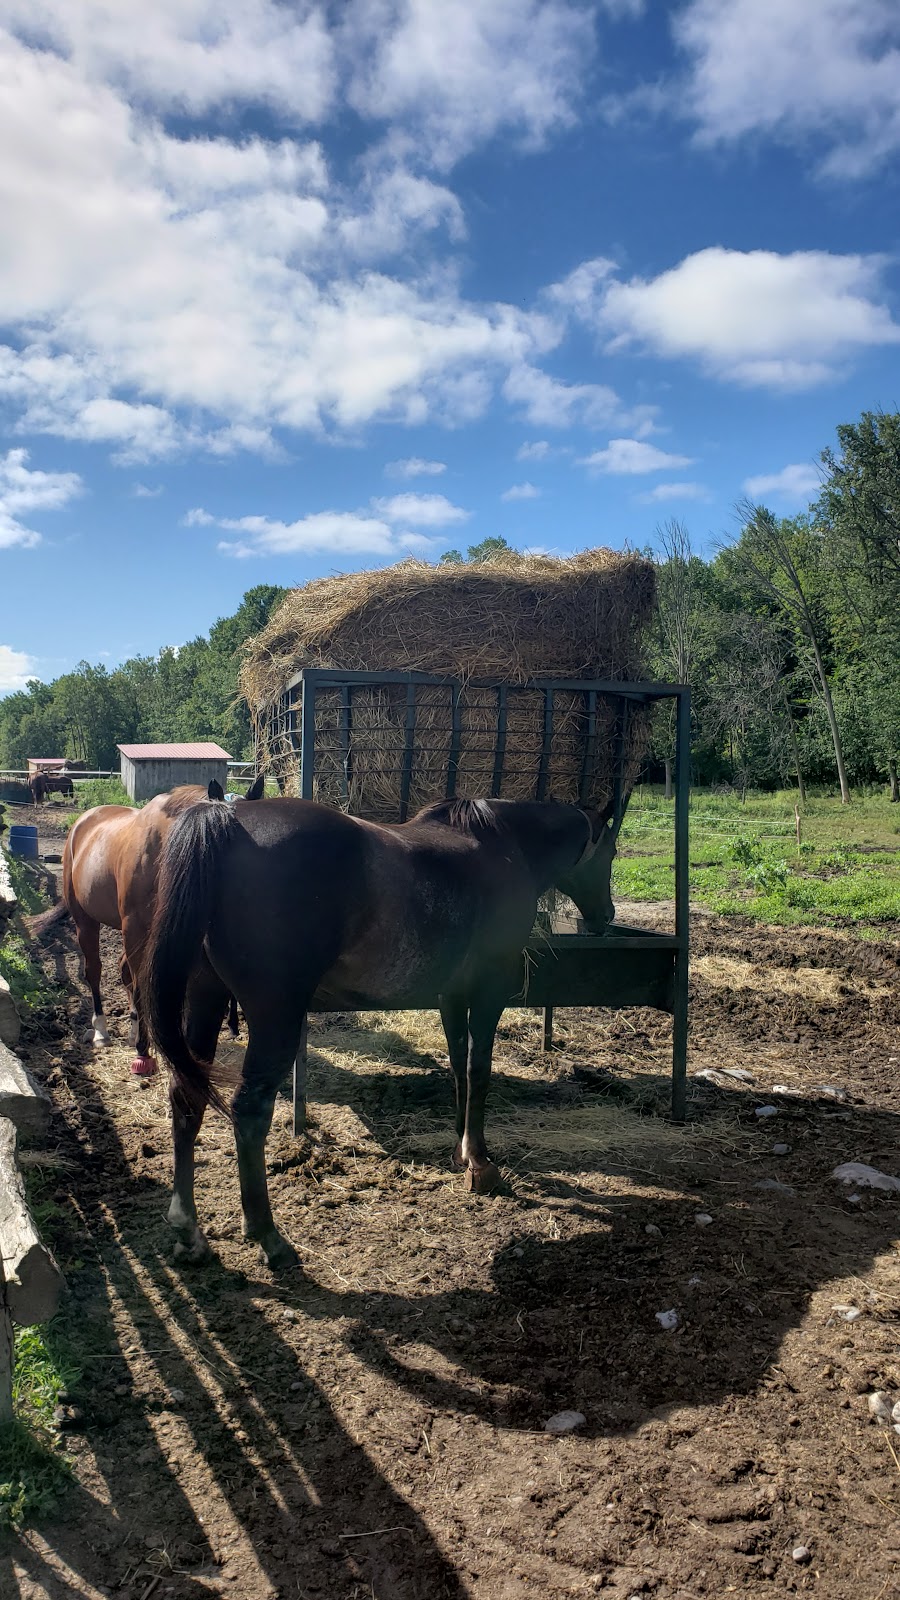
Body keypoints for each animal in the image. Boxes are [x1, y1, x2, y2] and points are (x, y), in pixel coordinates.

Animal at [143, 793, 621, 1267]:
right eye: (612, 852)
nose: (606, 915)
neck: (504, 844)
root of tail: (228, 817)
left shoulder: (451, 994)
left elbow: (458, 1068)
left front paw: (461, 1152)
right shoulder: (490, 990)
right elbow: (479, 1071)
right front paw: (481, 1163)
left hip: (204, 999)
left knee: (186, 1096)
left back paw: (189, 1229)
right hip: (276, 1015)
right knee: (250, 1112)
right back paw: (268, 1235)